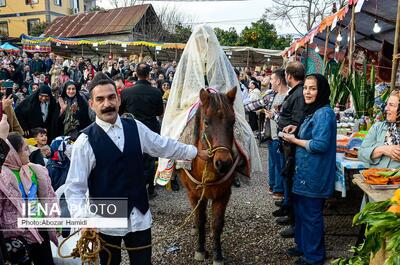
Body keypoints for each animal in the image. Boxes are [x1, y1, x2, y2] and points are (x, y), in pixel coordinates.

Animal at [180, 86, 239, 264]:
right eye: (206, 122)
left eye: (233, 122)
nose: (224, 163)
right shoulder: (194, 193)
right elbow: (200, 220)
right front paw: (200, 250)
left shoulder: (223, 194)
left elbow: (217, 223)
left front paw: (217, 255)